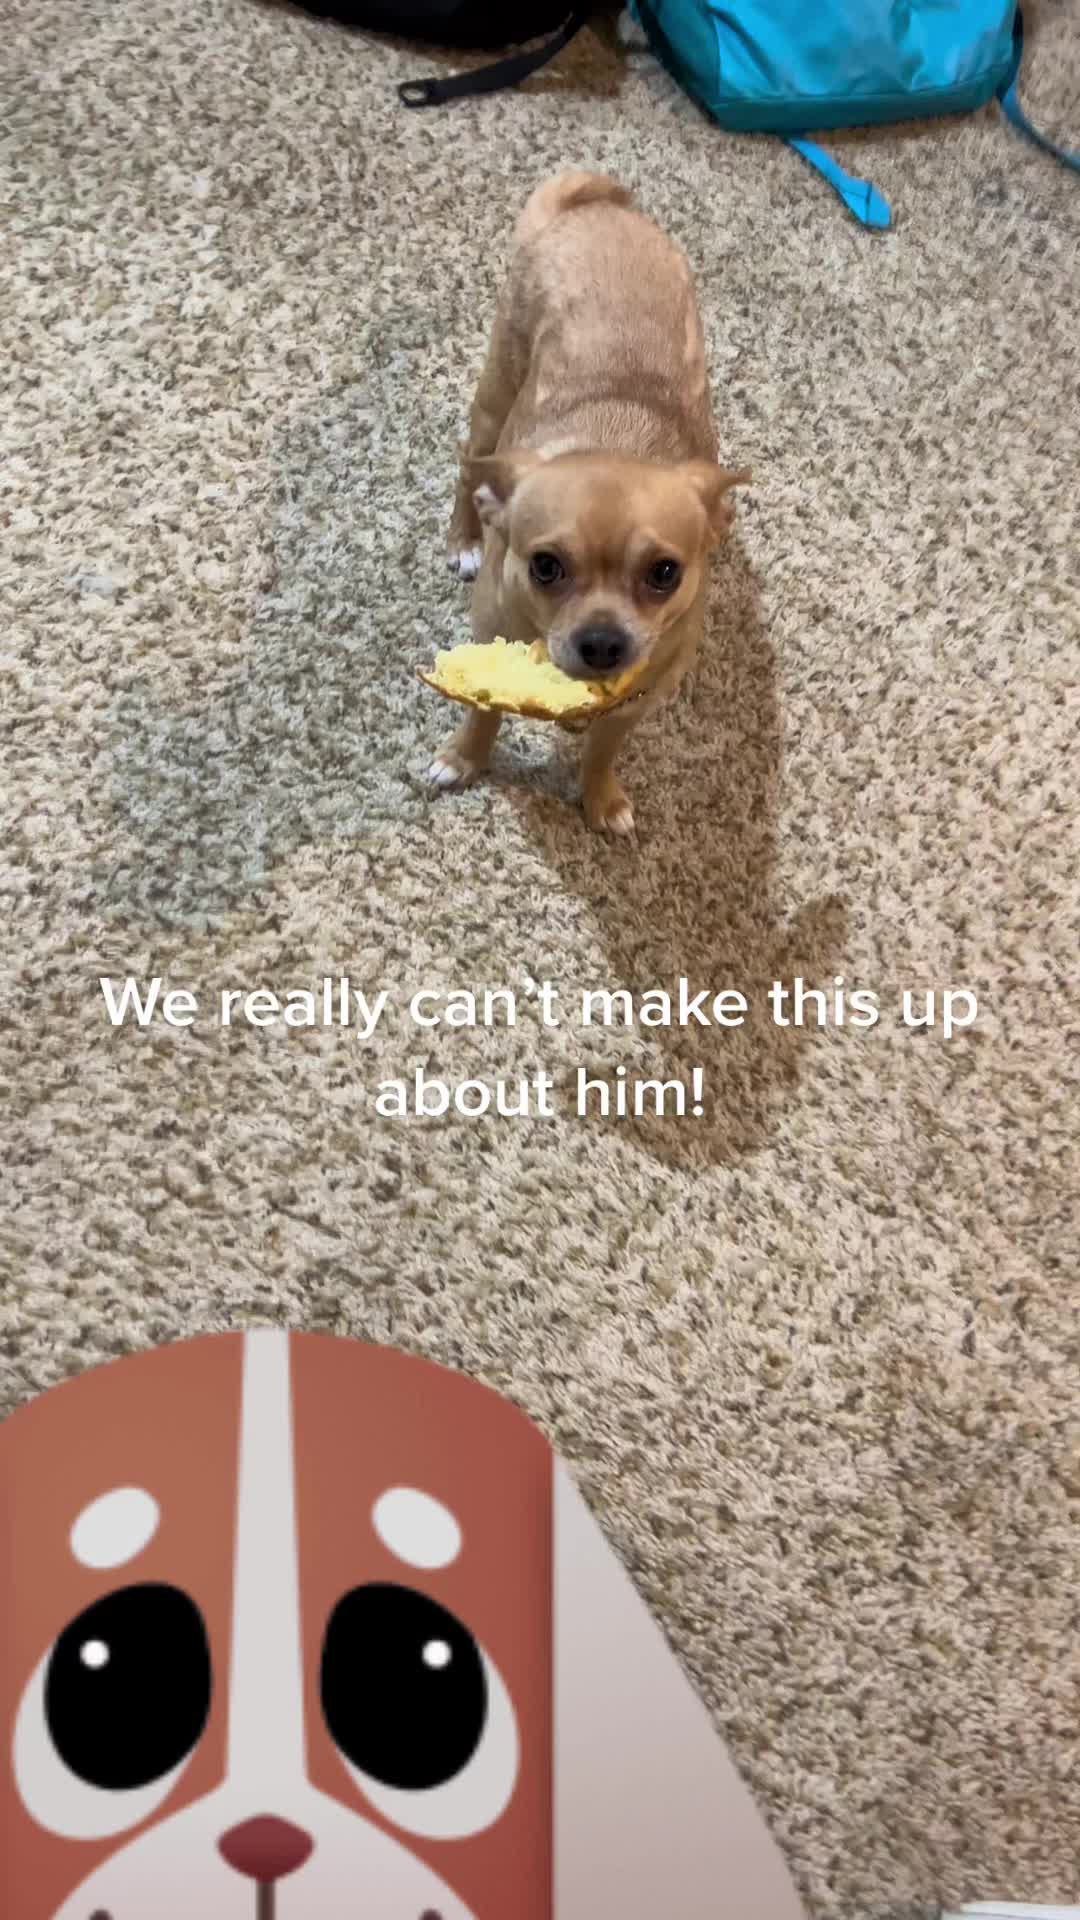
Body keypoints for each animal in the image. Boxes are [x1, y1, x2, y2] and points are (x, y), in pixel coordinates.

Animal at [427, 171, 749, 834]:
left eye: (665, 573)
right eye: (545, 567)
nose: (603, 643)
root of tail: (595, 208)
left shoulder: (635, 703)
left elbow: (604, 750)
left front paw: (600, 799)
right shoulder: (490, 655)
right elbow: (483, 715)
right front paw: (464, 759)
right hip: (494, 401)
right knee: (469, 470)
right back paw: (465, 538)